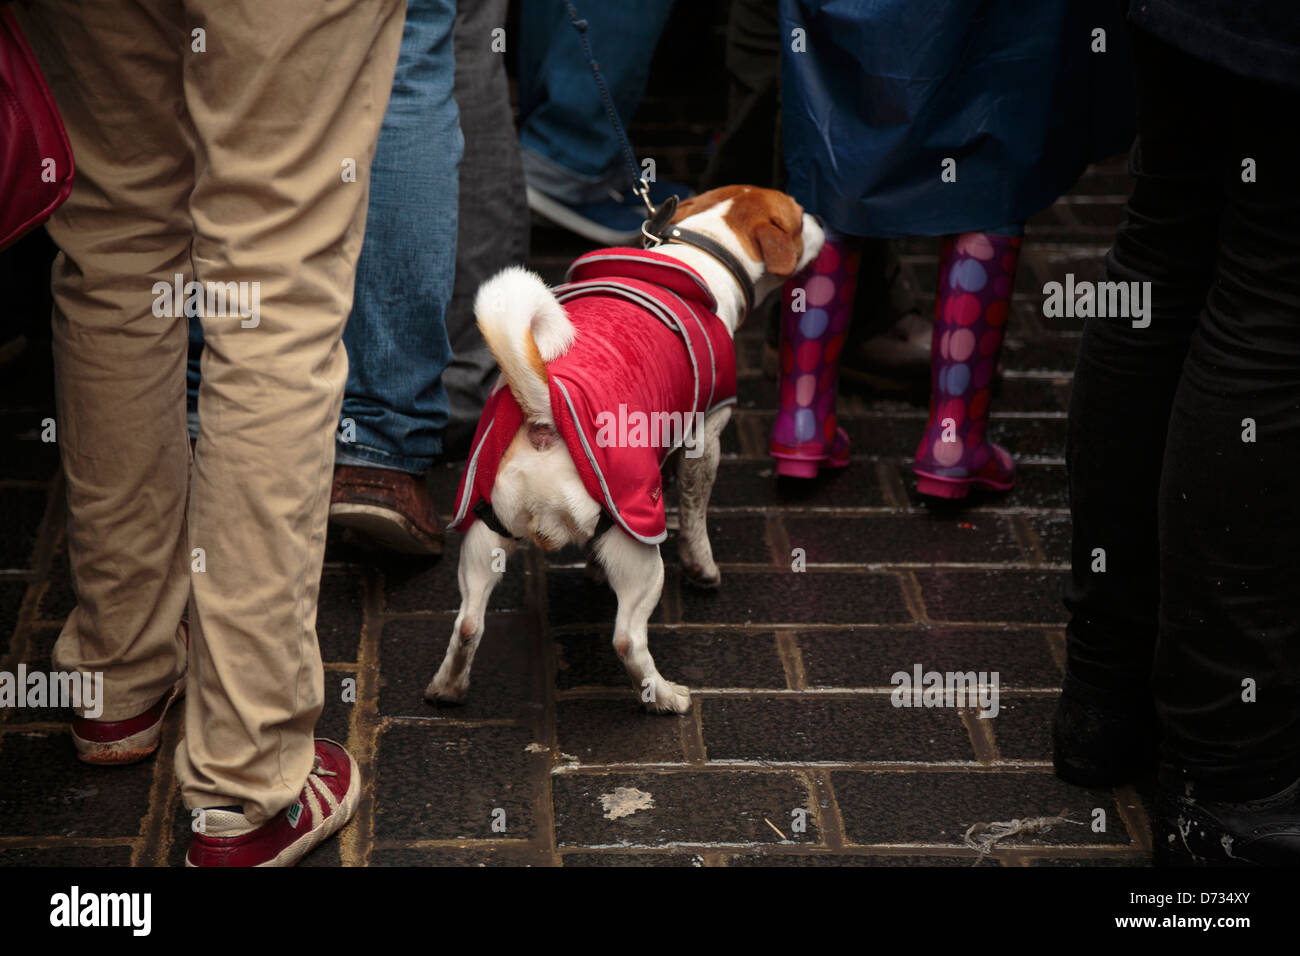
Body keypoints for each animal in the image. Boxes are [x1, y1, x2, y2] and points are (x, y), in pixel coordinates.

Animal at [431, 184, 826, 712]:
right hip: (640, 548)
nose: (824, 219)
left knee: (468, 622)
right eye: (801, 218)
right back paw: (665, 696)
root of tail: (545, 409)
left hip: (483, 536)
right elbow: (696, 518)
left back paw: (447, 687)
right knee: (627, 640)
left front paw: (593, 569)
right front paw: (703, 570)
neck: (701, 249)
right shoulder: (705, 436)